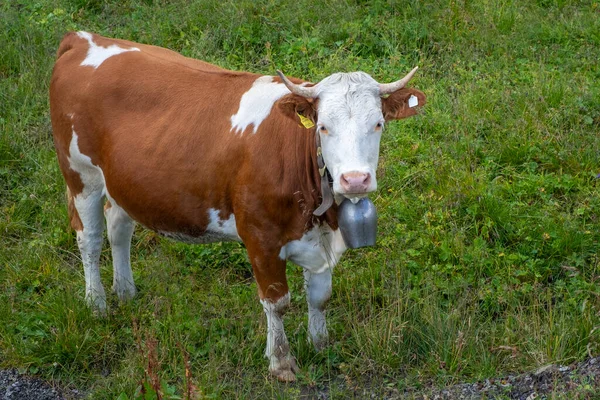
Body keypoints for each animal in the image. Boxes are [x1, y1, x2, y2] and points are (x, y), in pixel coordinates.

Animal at [51, 32, 426, 382]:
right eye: (323, 127)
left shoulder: (319, 239)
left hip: (123, 182)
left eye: (378, 124)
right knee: (90, 238)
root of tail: (83, 38)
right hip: (80, 175)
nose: (355, 180)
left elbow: (320, 296)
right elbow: (277, 303)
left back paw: (126, 292)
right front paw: (281, 362)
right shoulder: (260, 238)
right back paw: (97, 304)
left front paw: (320, 344)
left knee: (119, 227)